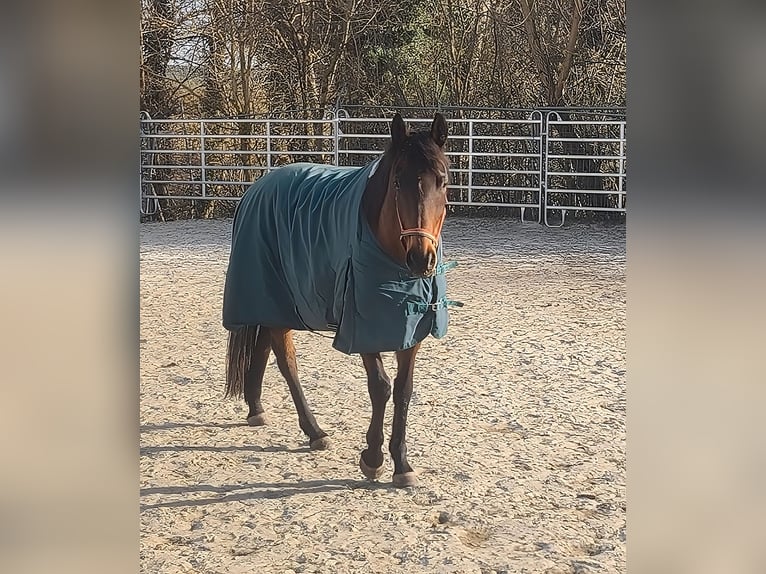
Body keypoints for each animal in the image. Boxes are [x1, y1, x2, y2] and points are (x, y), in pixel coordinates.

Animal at [222, 113, 457, 488]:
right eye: (397, 182)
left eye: (443, 181)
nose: (422, 258)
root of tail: (257, 189)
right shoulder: (362, 328)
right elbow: (380, 387)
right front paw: (373, 458)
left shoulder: (411, 330)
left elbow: (403, 391)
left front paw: (402, 464)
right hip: (275, 301)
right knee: (286, 361)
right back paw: (314, 431)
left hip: (278, 306)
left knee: (263, 346)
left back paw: (256, 408)